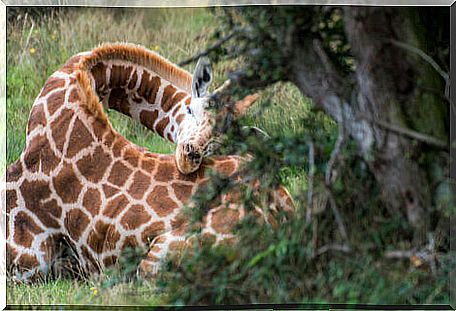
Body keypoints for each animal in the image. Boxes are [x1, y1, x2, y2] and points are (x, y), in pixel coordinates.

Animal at [4, 42, 296, 282]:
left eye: (218, 141)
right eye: (190, 110)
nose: (190, 157)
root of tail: (283, 220)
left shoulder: (28, 255)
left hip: (156, 261)